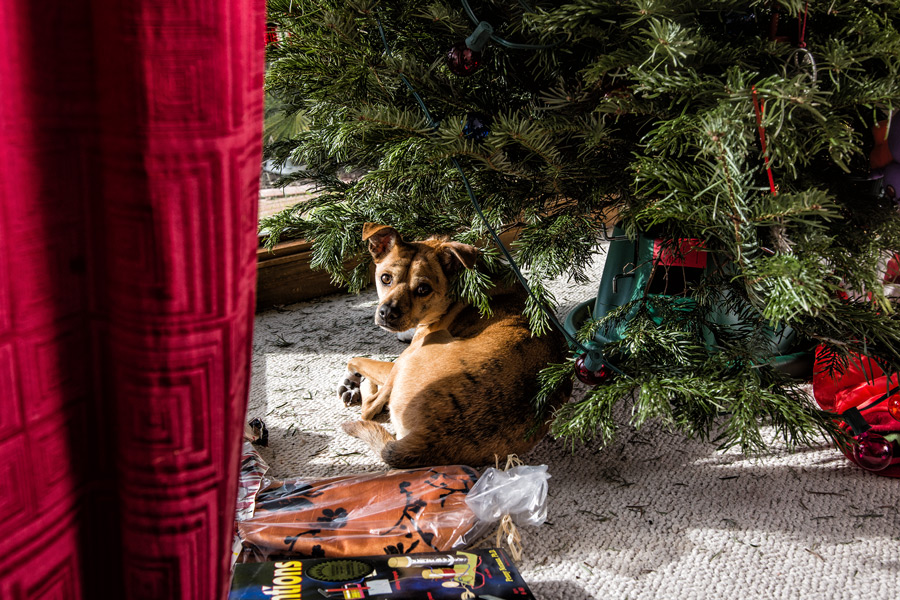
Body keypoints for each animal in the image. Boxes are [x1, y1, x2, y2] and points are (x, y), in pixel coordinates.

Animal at [338, 223, 568, 466]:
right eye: (385, 278)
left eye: (423, 289)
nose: (387, 313)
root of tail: (429, 438)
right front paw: (350, 383)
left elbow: (355, 359)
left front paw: (354, 381)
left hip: (419, 352)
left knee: (370, 407)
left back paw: (365, 388)